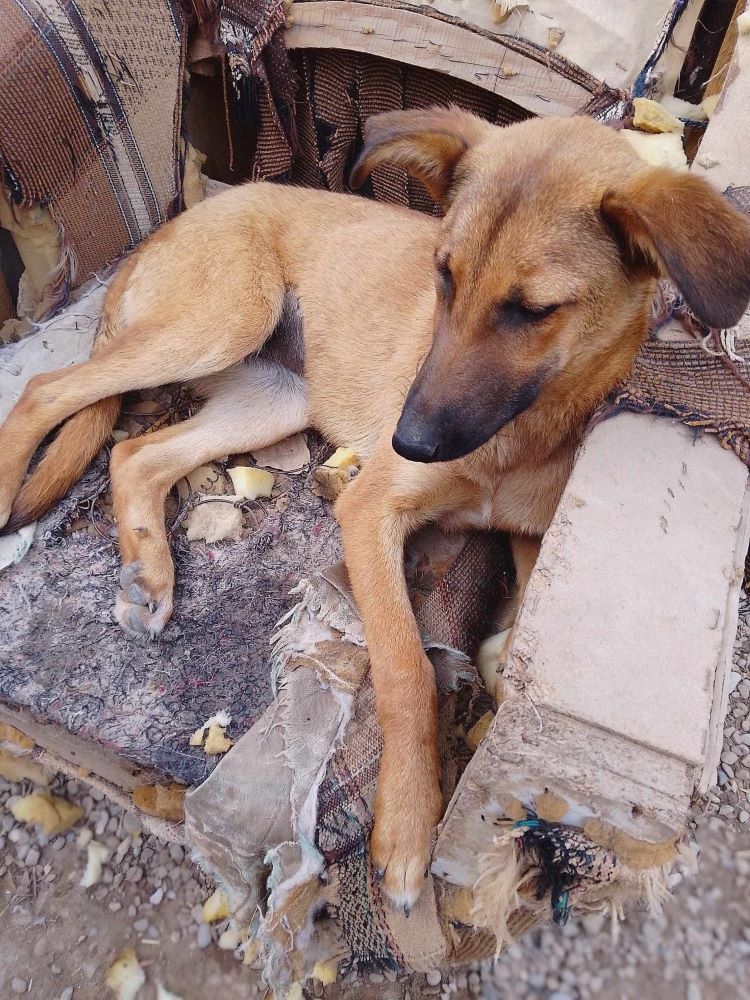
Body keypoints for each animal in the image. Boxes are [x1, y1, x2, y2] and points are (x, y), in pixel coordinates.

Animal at [1, 107, 750, 908]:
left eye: (534, 311)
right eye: (443, 274)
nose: (408, 440)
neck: (517, 432)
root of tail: (173, 223)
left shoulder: (529, 533)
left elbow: (515, 632)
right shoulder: (369, 510)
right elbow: (406, 670)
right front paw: (408, 823)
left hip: (275, 395)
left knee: (133, 455)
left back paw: (149, 574)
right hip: (222, 319)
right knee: (47, 390)